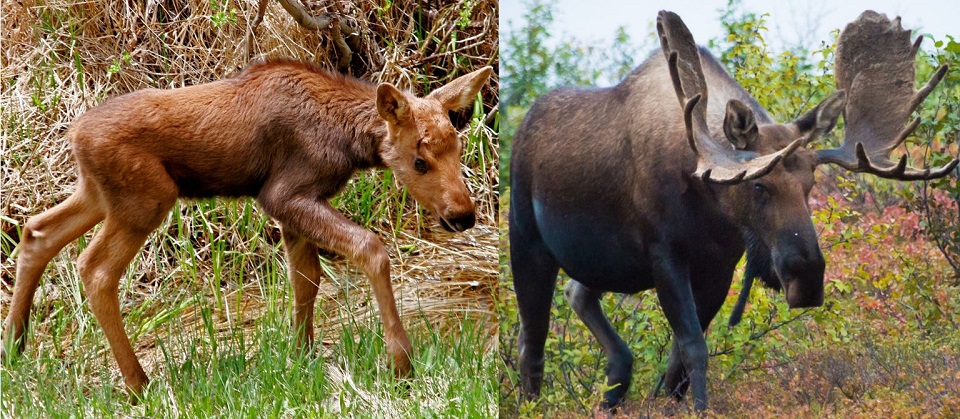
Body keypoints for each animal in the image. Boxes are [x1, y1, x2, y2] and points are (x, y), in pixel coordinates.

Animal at [2, 59, 493, 395]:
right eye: (419, 160)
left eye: (457, 148)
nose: (463, 214)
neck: (350, 143)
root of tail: (74, 134)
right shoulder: (285, 194)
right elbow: (369, 247)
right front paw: (401, 365)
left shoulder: (292, 206)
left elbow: (306, 278)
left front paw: (301, 356)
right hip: (144, 199)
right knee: (95, 268)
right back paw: (139, 383)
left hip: (98, 194)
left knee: (37, 231)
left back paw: (14, 345)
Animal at [509, 10, 956, 411]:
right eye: (758, 184)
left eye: (811, 185)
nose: (808, 276)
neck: (707, 195)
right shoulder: (664, 254)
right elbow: (693, 347)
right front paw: (700, 408)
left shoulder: (721, 264)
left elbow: (678, 362)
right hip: (527, 238)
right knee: (531, 343)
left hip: (607, 264)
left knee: (581, 299)